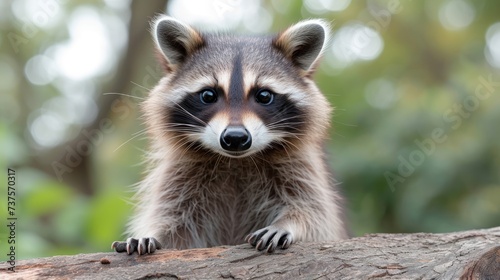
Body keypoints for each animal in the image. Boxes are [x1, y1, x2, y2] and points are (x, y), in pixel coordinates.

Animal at [112, 16, 348, 255]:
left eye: (264, 95)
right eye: (208, 95)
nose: (235, 137)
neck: (236, 162)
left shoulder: (300, 168)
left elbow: (314, 214)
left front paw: (288, 224)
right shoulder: (180, 175)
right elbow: (173, 219)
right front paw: (154, 233)